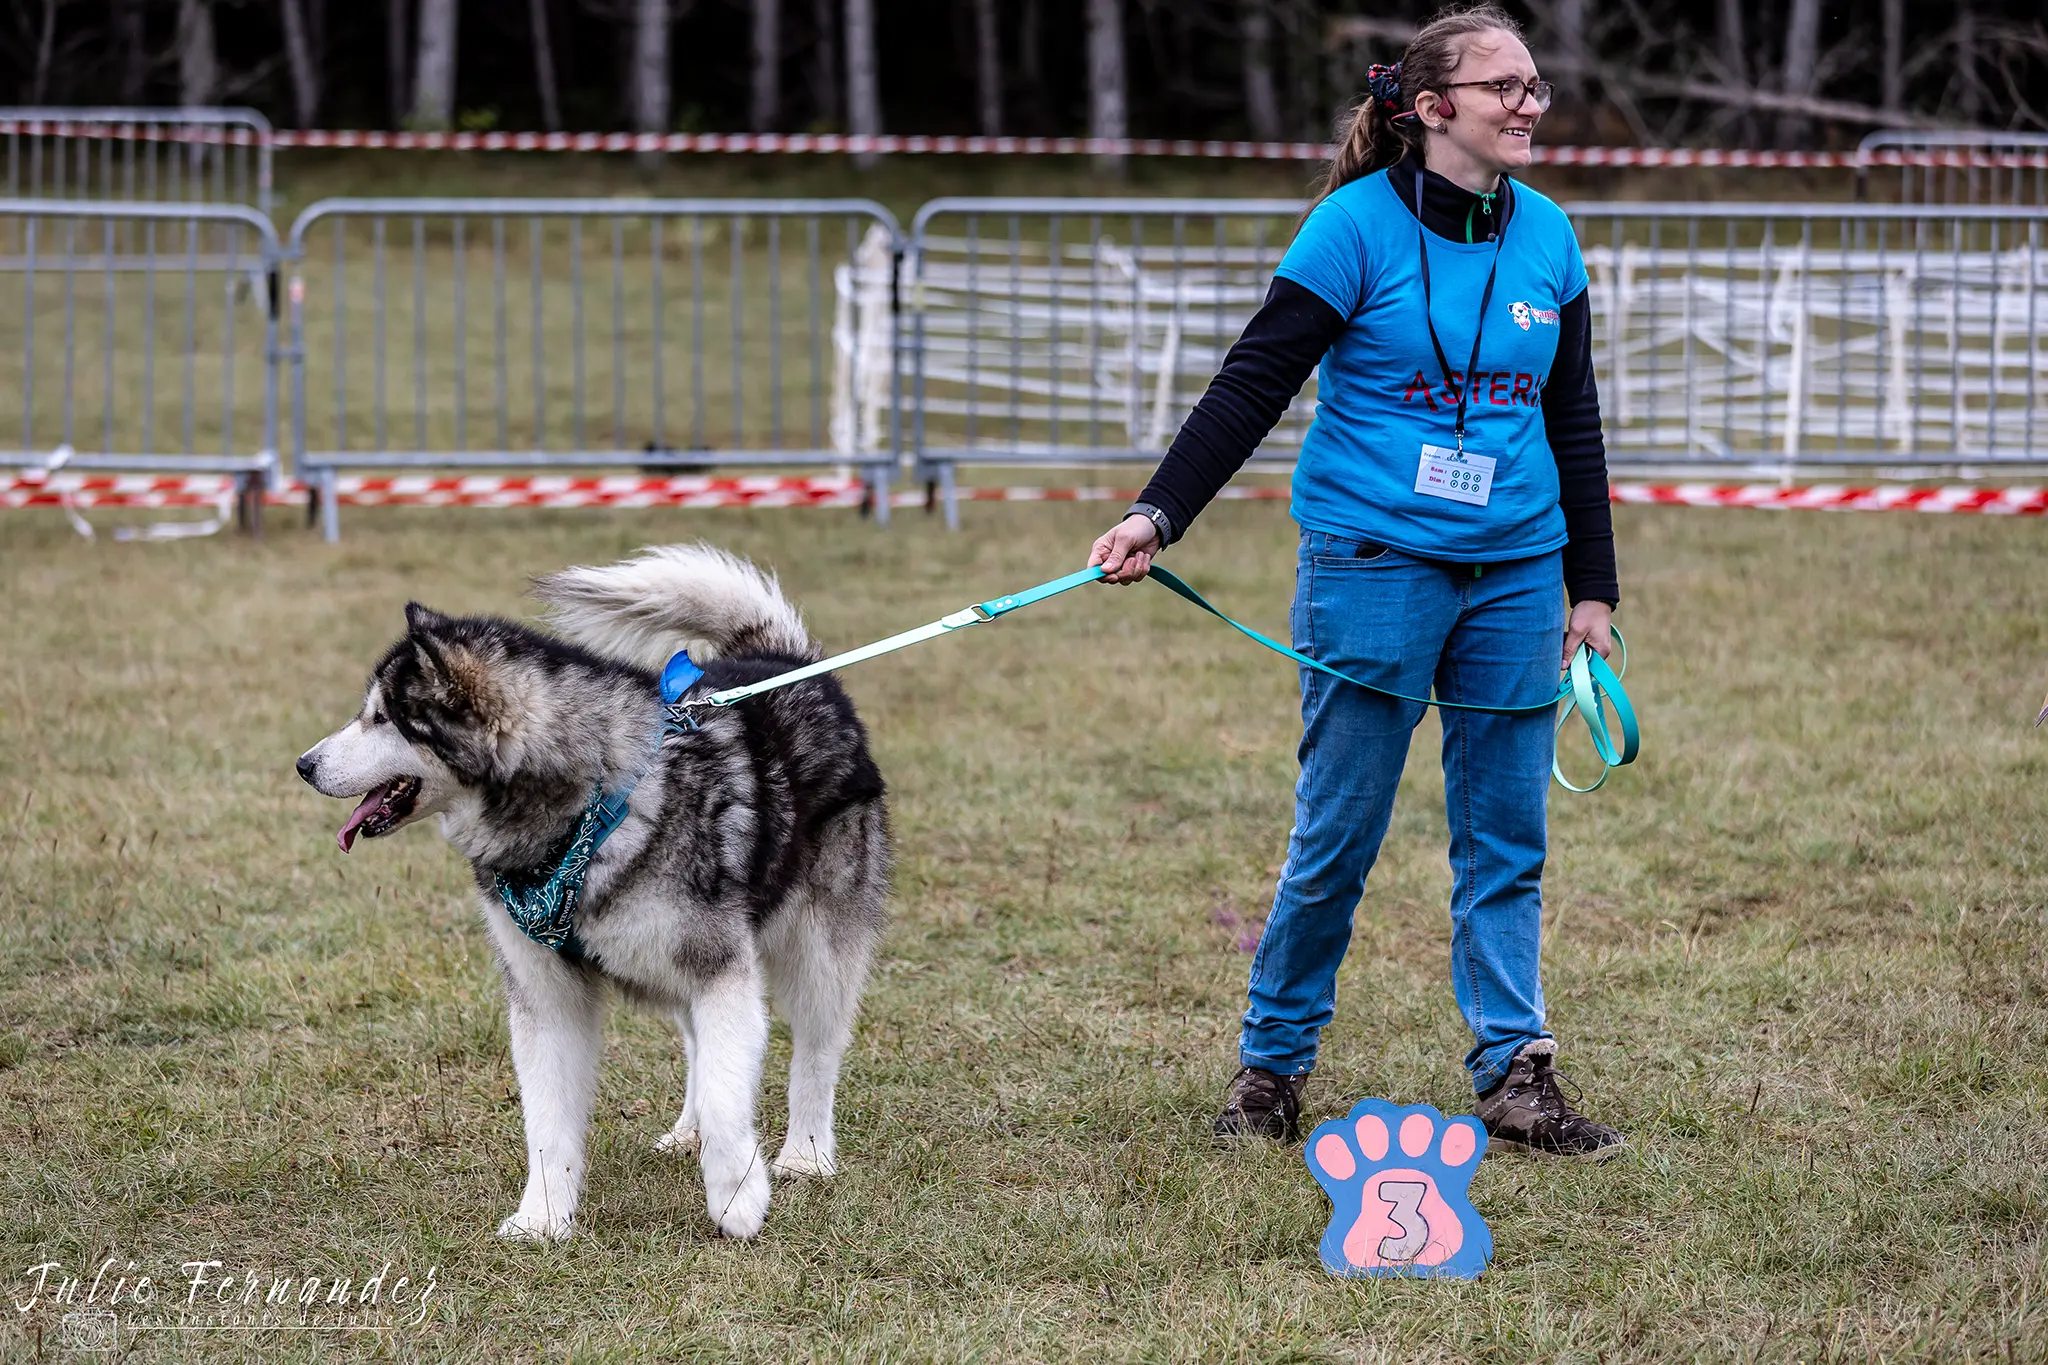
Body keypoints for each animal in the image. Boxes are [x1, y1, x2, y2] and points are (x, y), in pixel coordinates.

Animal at [294, 540, 888, 1236]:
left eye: (382, 719)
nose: (303, 765)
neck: (583, 813)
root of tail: (790, 662)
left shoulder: (722, 971)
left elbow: (727, 1095)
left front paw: (737, 1200)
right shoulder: (547, 996)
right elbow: (549, 1121)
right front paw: (543, 1218)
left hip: (814, 951)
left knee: (816, 1051)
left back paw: (807, 1154)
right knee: (699, 1046)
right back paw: (687, 1131)